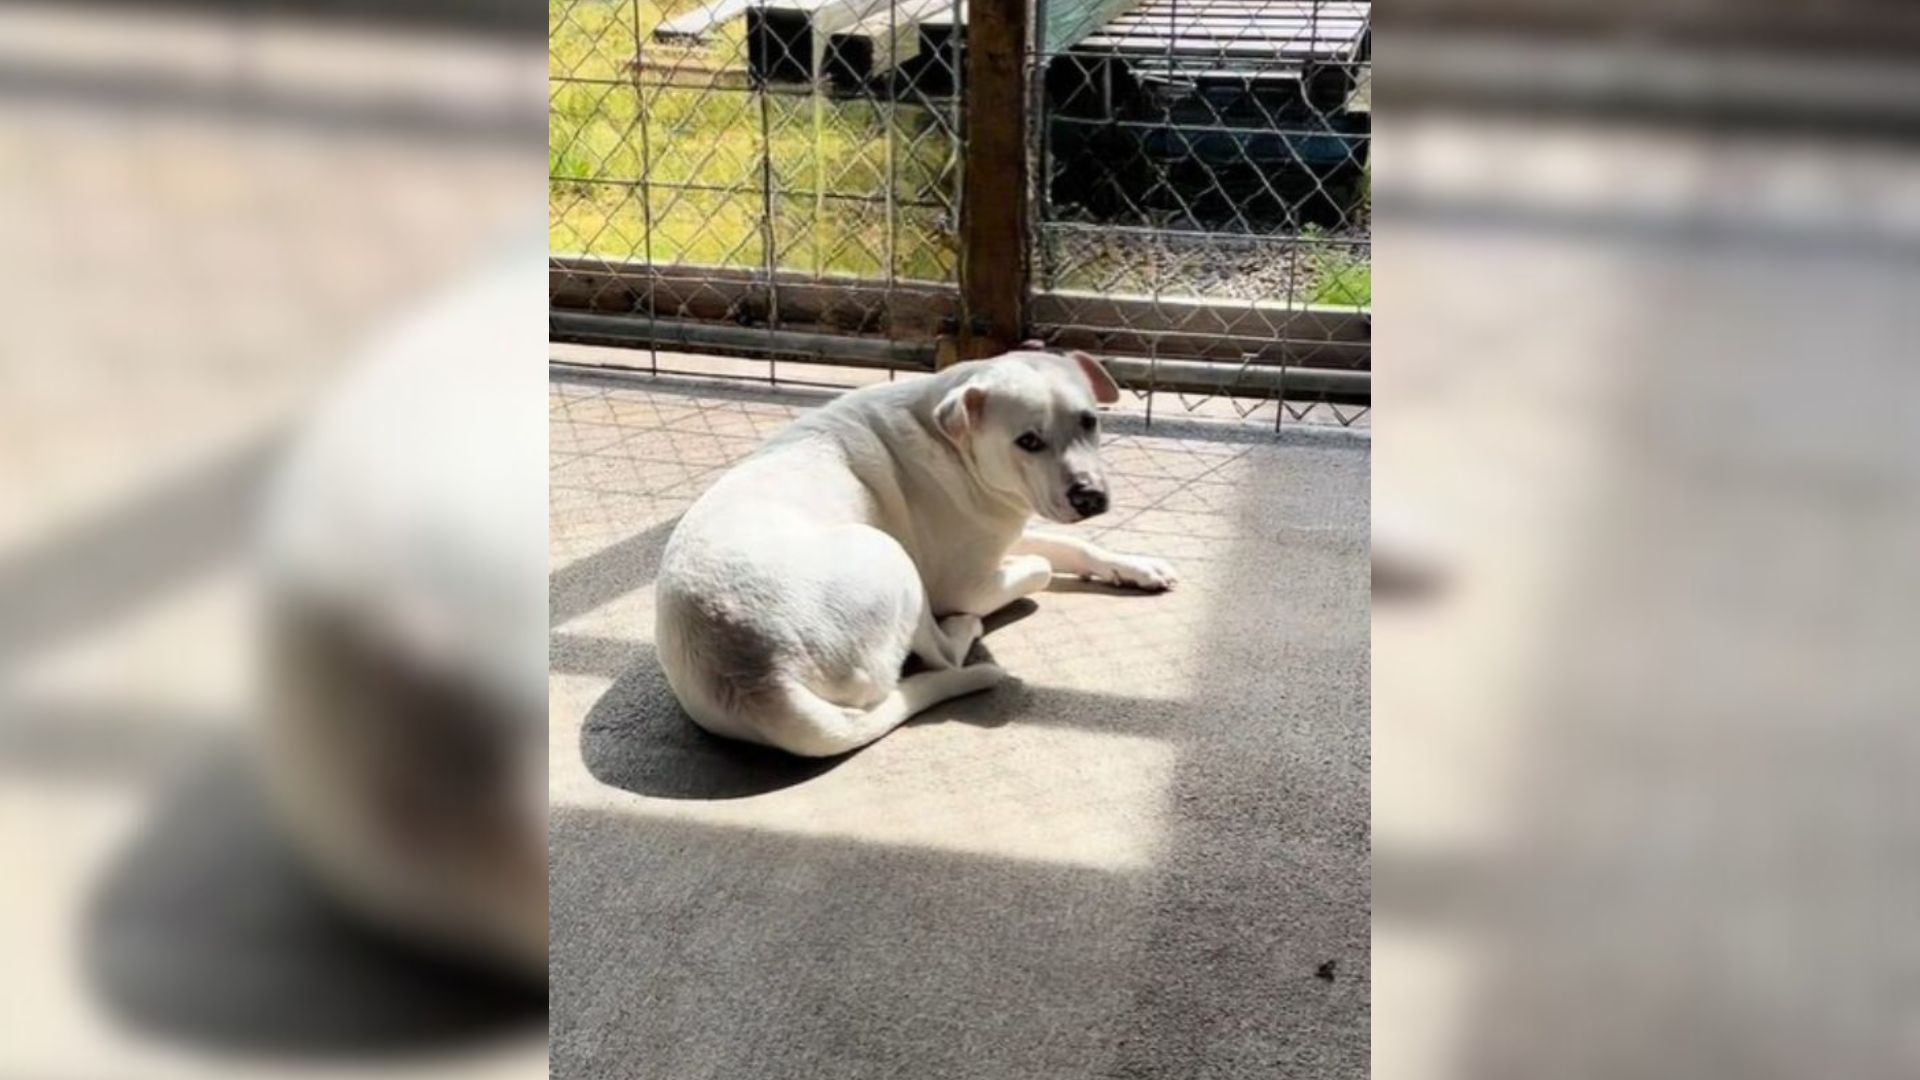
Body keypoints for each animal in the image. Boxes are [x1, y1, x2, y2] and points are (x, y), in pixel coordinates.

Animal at [656, 349, 1167, 753]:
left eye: (1089, 421)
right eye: (1028, 441)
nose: (1091, 497)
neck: (951, 438)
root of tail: (761, 677)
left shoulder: (1003, 526)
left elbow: (1075, 543)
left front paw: (1135, 567)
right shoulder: (967, 582)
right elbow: (1039, 567)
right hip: (895, 559)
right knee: (945, 655)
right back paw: (964, 629)